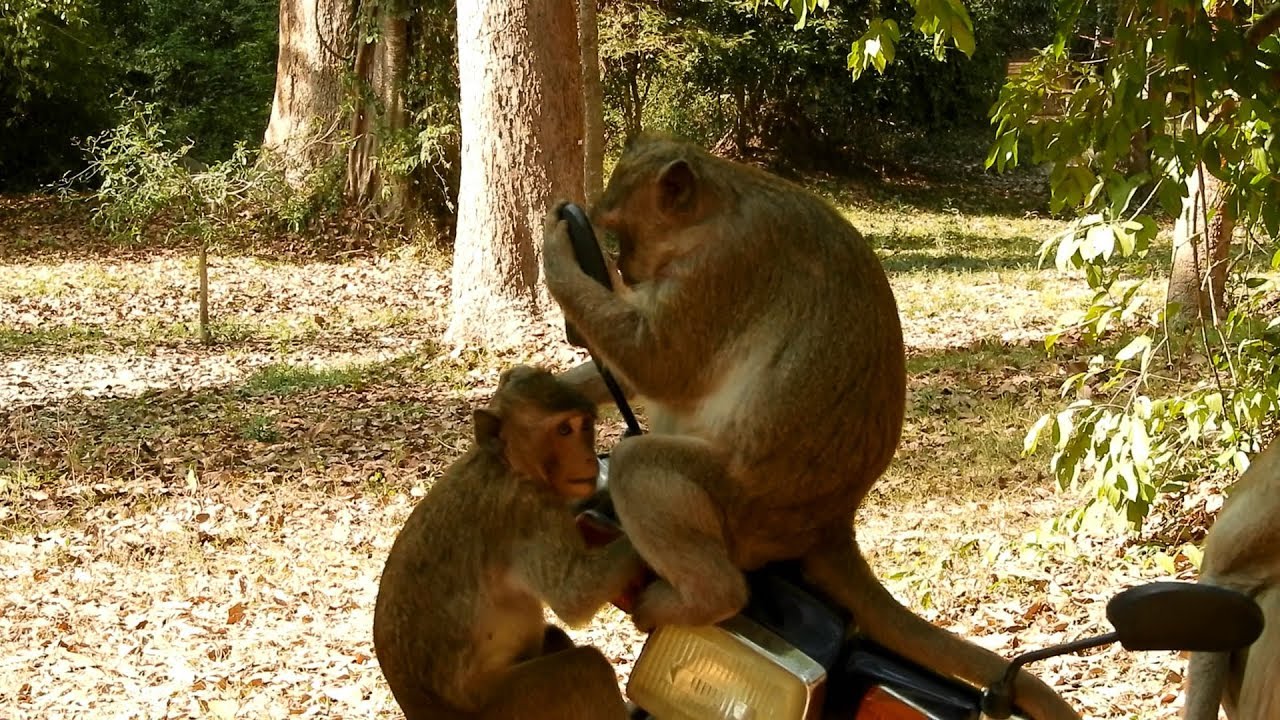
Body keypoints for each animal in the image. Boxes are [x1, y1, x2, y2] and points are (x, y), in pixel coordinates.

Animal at [372, 365, 641, 720]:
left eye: (584, 425)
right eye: (564, 429)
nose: (589, 459)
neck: (506, 464)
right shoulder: (529, 509)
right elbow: (574, 596)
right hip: (506, 706)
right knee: (586, 669)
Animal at [542, 133, 1080, 720]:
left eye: (619, 233)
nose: (624, 267)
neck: (715, 210)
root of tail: (832, 523)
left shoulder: (721, 270)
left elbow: (661, 366)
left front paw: (556, 256)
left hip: (744, 512)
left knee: (640, 465)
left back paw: (706, 598)